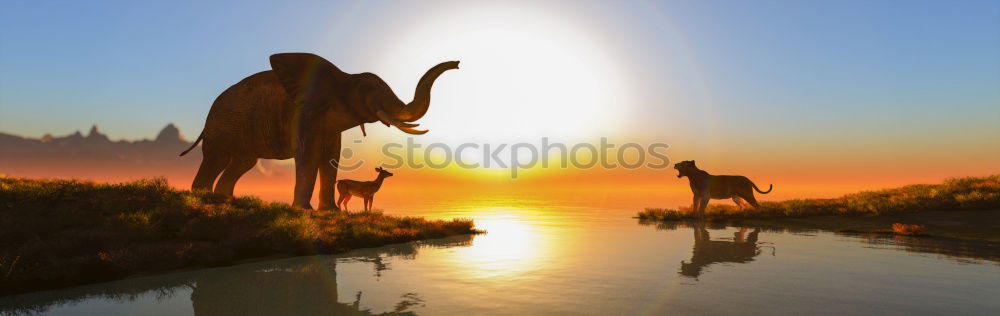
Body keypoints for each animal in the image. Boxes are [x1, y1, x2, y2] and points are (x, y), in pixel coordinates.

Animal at [180, 52, 458, 210]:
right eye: (368, 89)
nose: (457, 64)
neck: (344, 76)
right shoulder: (305, 116)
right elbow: (308, 157)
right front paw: (305, 211)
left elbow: (331, 160)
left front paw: (329, 212)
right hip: (221, 126)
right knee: (217, 158)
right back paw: (204, 200)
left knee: (243, 162)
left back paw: (226, 201)